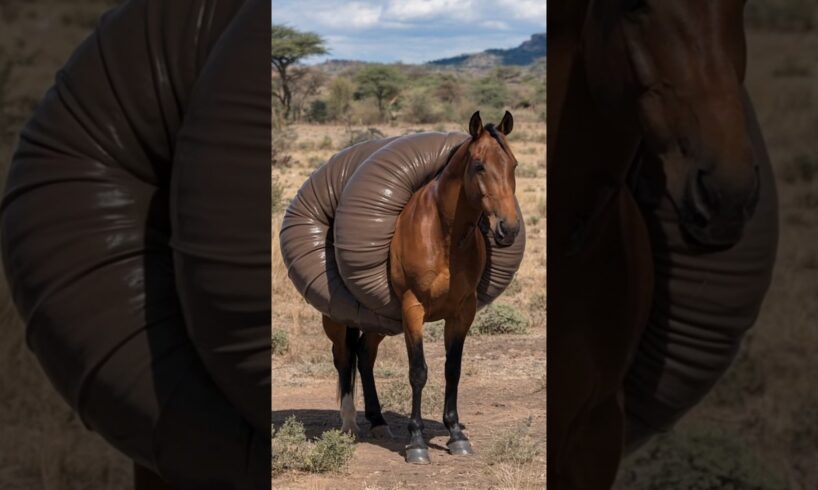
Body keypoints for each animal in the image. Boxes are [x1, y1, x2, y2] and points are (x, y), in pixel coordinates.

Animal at [322, 110, 521, 465]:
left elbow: (452, 369)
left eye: (513, 164)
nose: (507, 229)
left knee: (364, 354)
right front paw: (416, 442)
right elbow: (418, 371)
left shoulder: (462, 312)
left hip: (378, 321)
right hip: (337, 318)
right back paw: (349, 423)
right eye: (479, 165)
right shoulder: (412, 309)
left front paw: (456, 435)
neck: (444, 235)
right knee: (344, 357)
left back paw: (377, 420)